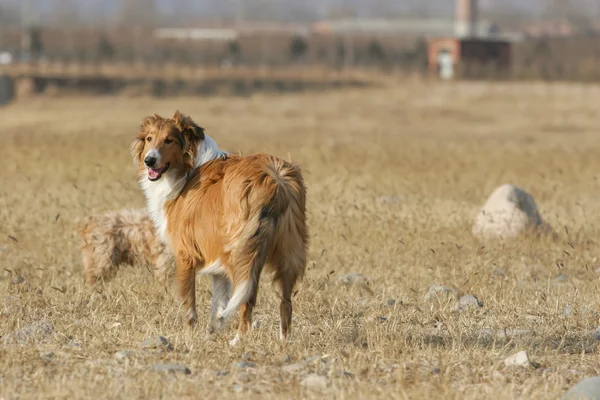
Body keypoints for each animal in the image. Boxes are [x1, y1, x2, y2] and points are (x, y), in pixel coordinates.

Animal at [129, 111, 308, 344]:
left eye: (169, 140)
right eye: (150, 138)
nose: (149, 160)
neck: (189, 167)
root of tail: (274, 180)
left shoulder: (185, 255)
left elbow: (189, 304)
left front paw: (190, 336)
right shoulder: (217, 262)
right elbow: (218, 304)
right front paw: (212, 333)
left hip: (241, 253)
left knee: (247, 299)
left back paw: (238, 341)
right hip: (287, 252)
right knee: (285, 302)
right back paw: (283, 341)